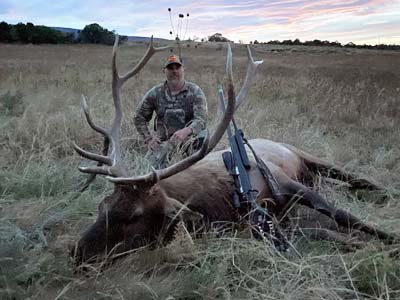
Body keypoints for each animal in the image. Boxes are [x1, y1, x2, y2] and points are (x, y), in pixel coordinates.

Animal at [71, 34, 394, 264]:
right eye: (102, 207)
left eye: (134, 216)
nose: (77, 252)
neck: (217, 204)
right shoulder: (267, 225)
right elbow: (322, 231)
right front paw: (357, 244)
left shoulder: (282, 182)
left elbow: (343, 215)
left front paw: (391, 240)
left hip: (305, 155)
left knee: (352, 176)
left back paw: (384, 192)